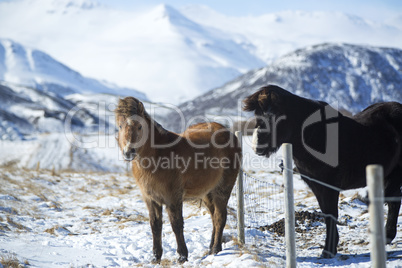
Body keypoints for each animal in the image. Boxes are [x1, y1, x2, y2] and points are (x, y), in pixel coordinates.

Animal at [114, 97, 240, 264]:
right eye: (120, 126)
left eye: (140, 126)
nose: (128, 152)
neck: (158, 155)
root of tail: (229, 134)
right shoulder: (151, 199)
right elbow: (155, 225)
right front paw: (155, 258)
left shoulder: (173, 198)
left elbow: (176, 224)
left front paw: (182, 256)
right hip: (207, 193)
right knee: (214, 216)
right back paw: (210, 248)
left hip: (222, 190)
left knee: (220, 217)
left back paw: (215, 249)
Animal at [242, 85, 402, 258]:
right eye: (257, 114)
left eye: (275, 114)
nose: (257, 146)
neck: (316, 136)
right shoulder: (316, 185)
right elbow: (326, 213)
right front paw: (330, 247)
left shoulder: (329, 186)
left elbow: (331, 214)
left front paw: (328, 250)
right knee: (394, 201)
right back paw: (387, 236)